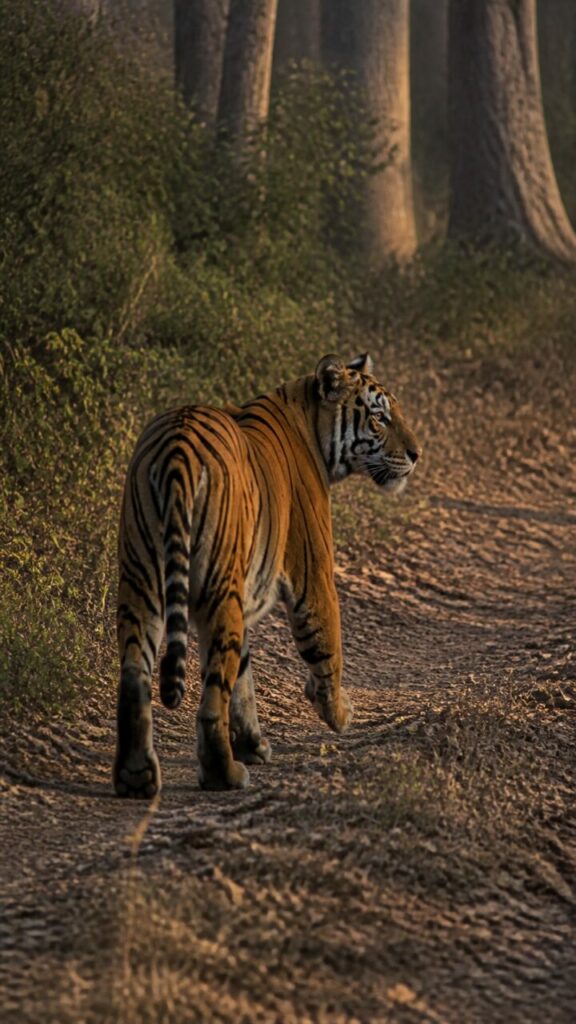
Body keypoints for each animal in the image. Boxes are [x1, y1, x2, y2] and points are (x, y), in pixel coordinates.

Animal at [113, 353, 421, 797]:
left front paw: (253, 743)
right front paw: (339, 711)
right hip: (219, 588)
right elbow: (327, 644)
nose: (416, 454)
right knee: (212, 694)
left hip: (141, 580)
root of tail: (177, 448)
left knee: (136, 675)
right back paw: (223, 773)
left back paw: (136, 777)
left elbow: (243, 675)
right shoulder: (314, 572)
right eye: (380, 418)